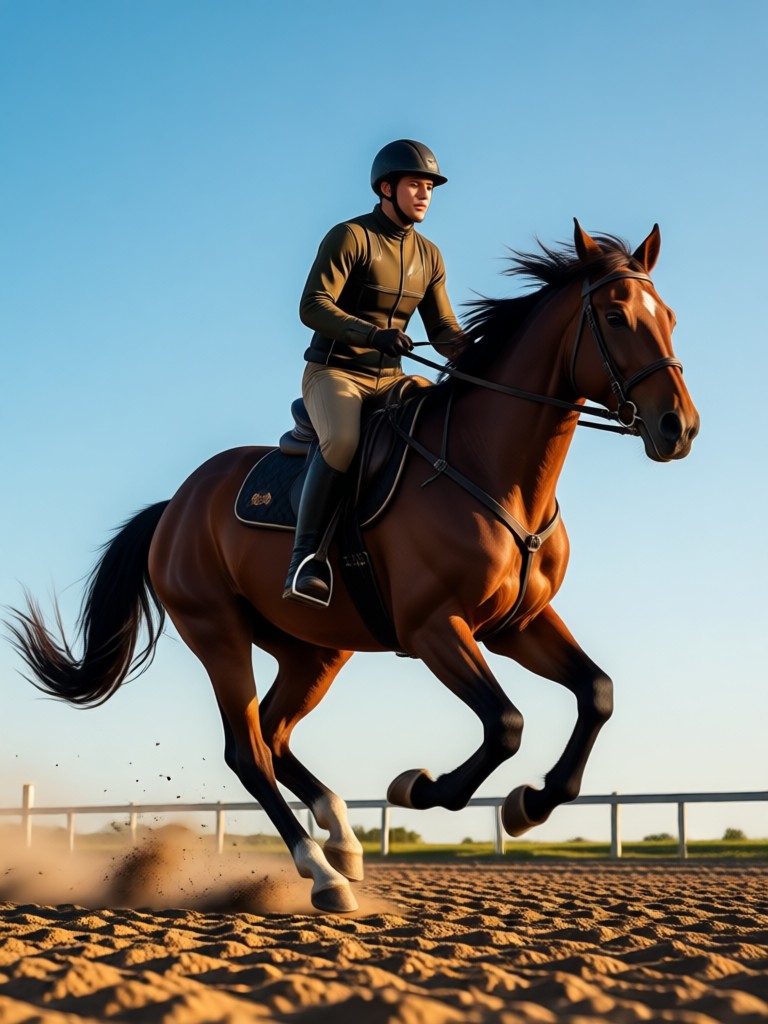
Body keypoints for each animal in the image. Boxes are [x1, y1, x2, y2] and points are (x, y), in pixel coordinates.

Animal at [9, 221, 699, 913]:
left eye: (668, 316)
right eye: (614, 316)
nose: (679, 427)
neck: (488, 469)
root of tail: (174, 507)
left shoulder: (518, 624)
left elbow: (596, 694)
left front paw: (531, 804)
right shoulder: (435, 628)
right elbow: (505, 724)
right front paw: (420, 787)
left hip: (314, 650)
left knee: (274, 734)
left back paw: (341, 836)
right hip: (218, 635)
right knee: (248, 751)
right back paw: (322, 872)